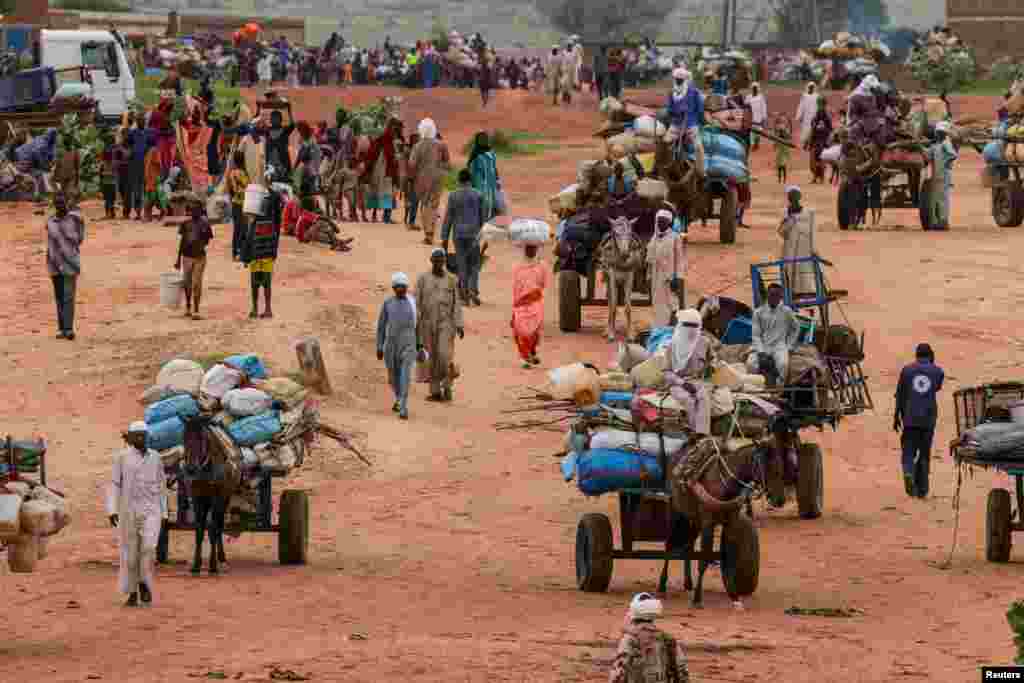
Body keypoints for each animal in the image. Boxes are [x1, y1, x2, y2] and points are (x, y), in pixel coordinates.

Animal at [181, 417, 240, 577]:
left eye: (202, 439)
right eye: (184, 437)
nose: (191, 469)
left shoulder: (217, 498)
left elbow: (213, 529)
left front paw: (213, 566)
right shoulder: (197, 498)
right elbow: (199, 531)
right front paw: (196, 565)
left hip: (225, 497)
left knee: (218, 525)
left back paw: (221, 559)